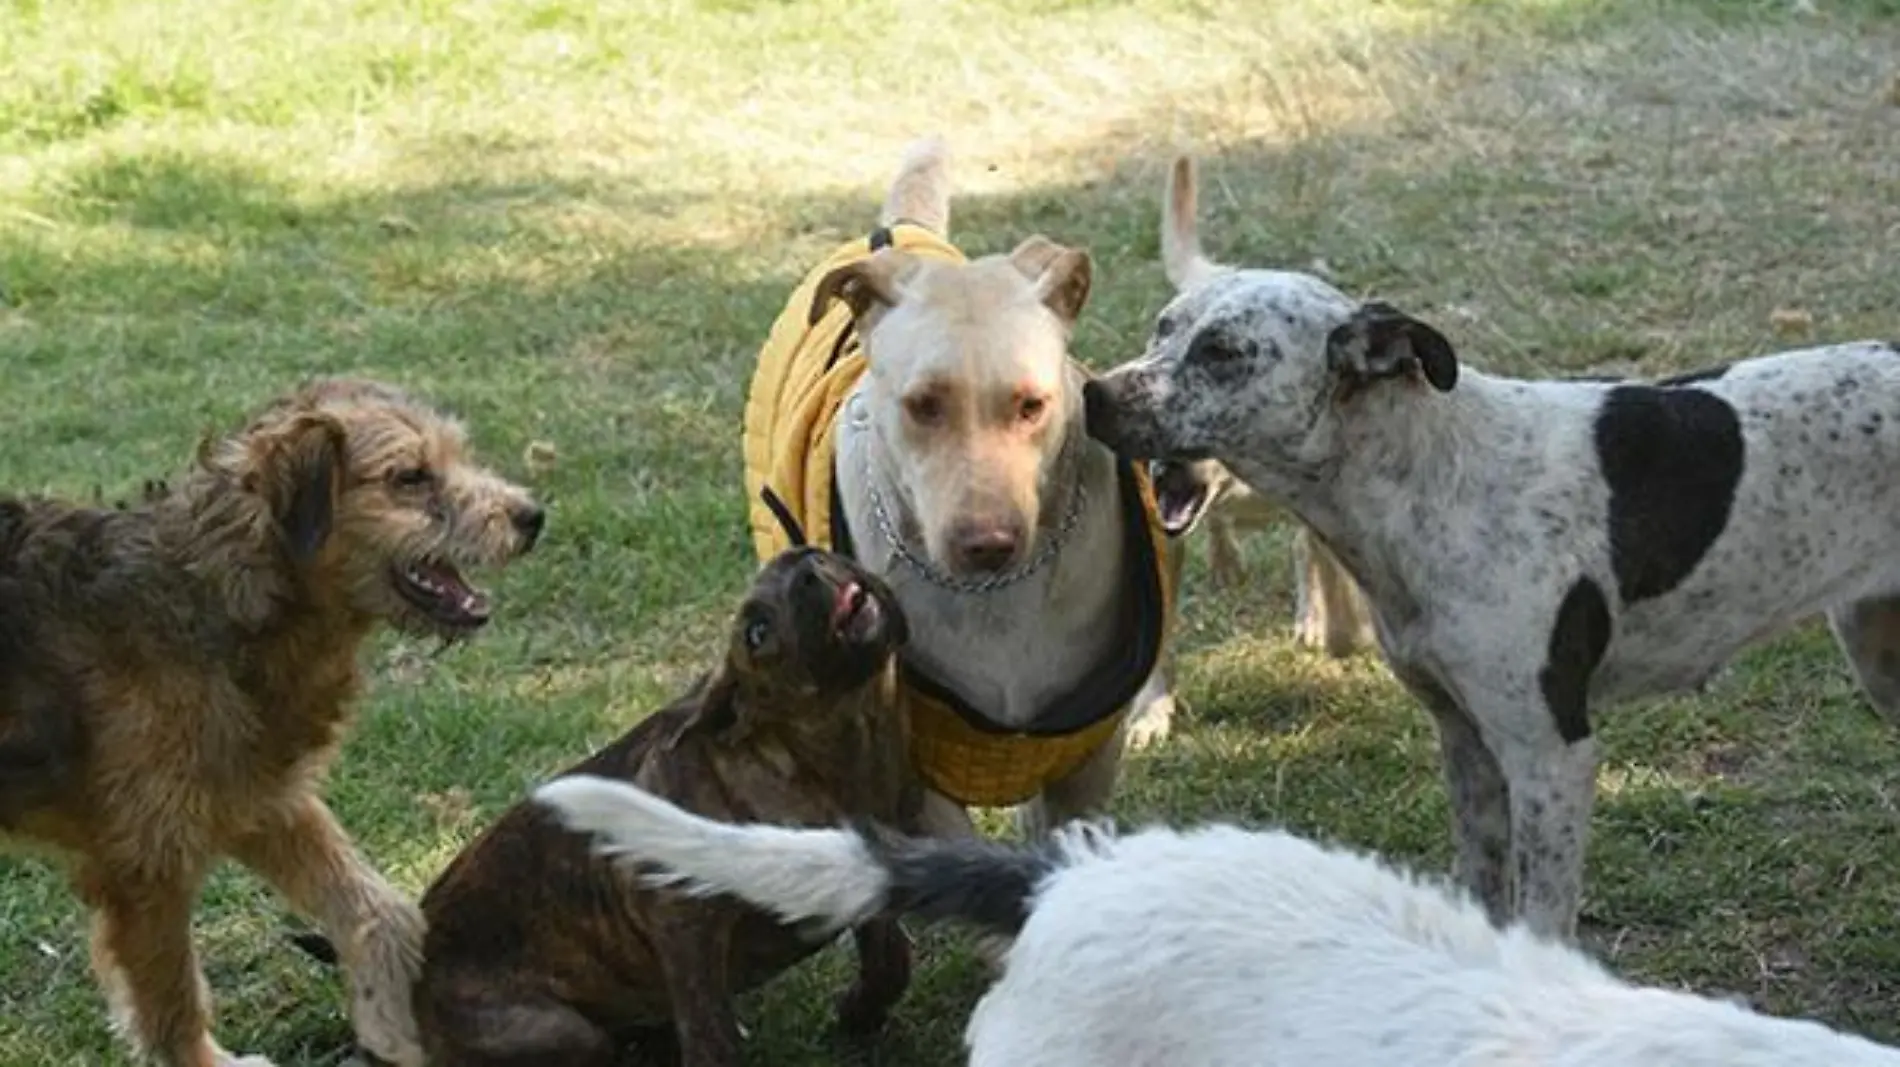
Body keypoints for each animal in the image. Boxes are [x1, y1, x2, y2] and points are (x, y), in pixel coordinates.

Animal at [0, 379, 543, 1063]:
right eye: (411, 477)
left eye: (456, 455)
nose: (532, 516)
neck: (225, 596)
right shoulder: (148, 862)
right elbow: (172, 998)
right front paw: (206, 1060)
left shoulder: (263, 798)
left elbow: (381, 908)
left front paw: (390, 1020)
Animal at [412, 497, 923, 1063]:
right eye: (757, 632)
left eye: (815, 554)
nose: (813, 574)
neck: (820, 763)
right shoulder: (684, 928)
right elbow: (710, 1034)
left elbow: (890, 957)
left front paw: (860, 1012)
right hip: (559, 1030)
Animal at [1079, 151, 1900, 937]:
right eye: (1162, 328)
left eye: (1223, 352)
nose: (1093, 393)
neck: (1434, 480)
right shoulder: (1465, 741)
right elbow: (1481, 885)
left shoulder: (1550, 756)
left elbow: (1541, 917)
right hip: (1876, 655)